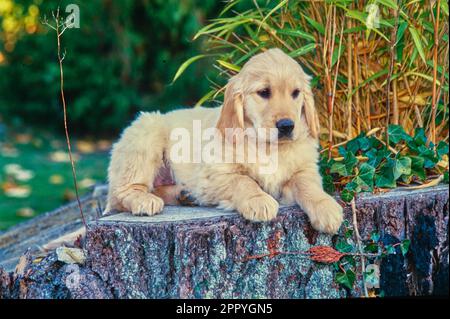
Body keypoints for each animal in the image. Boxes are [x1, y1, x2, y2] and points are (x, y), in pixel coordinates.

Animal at [106, 49, 344, 235]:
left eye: (296, 93)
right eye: (264, 92)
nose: (287, 126)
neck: (266, 146)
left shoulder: (305, 169)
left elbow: (308, 185)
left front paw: (327, 207)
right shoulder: (214, 176)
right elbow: (243, 180)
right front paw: (258, 199)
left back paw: (184, 195)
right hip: (147, 133)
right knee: (120, 193)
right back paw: (144, 200)